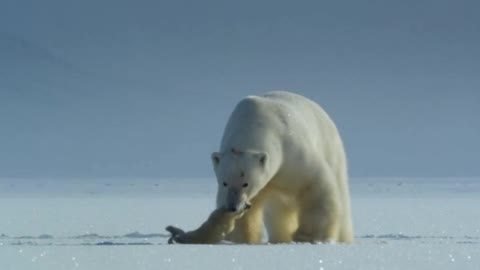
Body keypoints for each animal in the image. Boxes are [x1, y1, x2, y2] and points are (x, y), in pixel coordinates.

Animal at [213, 91, 352, 245]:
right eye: (224, 182)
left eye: (246, 183)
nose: (233, 207)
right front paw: (242, 239)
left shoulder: (292, 151)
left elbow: (315, 186)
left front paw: (308, 237)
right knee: (278, 210)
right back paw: (280, 238)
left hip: (331, 150)